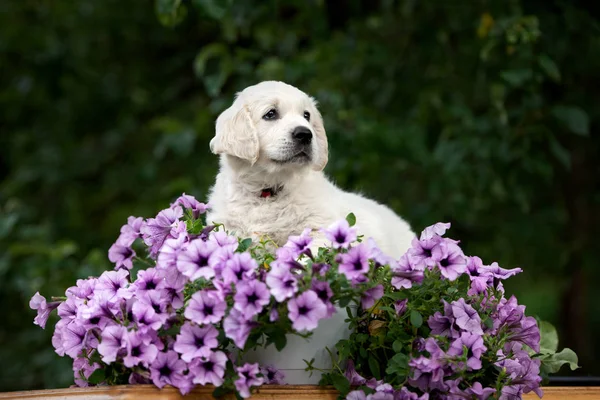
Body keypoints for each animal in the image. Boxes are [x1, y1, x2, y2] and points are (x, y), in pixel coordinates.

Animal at [205, 80, 412, 260]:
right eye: (270, 114)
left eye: (306, 115)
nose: (305, 134)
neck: (268, 189)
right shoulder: (229, 230)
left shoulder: (321, 228)